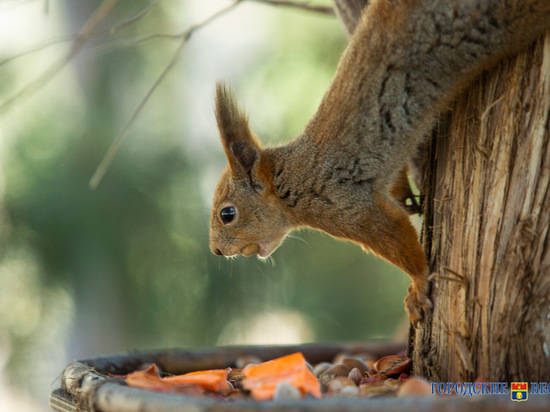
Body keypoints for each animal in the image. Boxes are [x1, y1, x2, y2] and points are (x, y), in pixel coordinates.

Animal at [208, 0, 550, 324]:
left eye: (227, 214)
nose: (216, 251)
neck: (291, 180)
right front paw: (404, 195)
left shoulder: (348, 206)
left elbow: (395, 236)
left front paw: (418, 286)